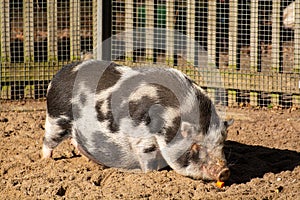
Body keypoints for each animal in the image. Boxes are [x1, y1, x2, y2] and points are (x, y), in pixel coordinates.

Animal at [41, 59, 232, 181]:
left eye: (221, 143)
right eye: (195, 146)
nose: (224, 171)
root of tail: (57, 76)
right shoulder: (143, 139)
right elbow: (148, 160)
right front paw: (149, 174)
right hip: (56, 119)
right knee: (47, 141)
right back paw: (45, 161)